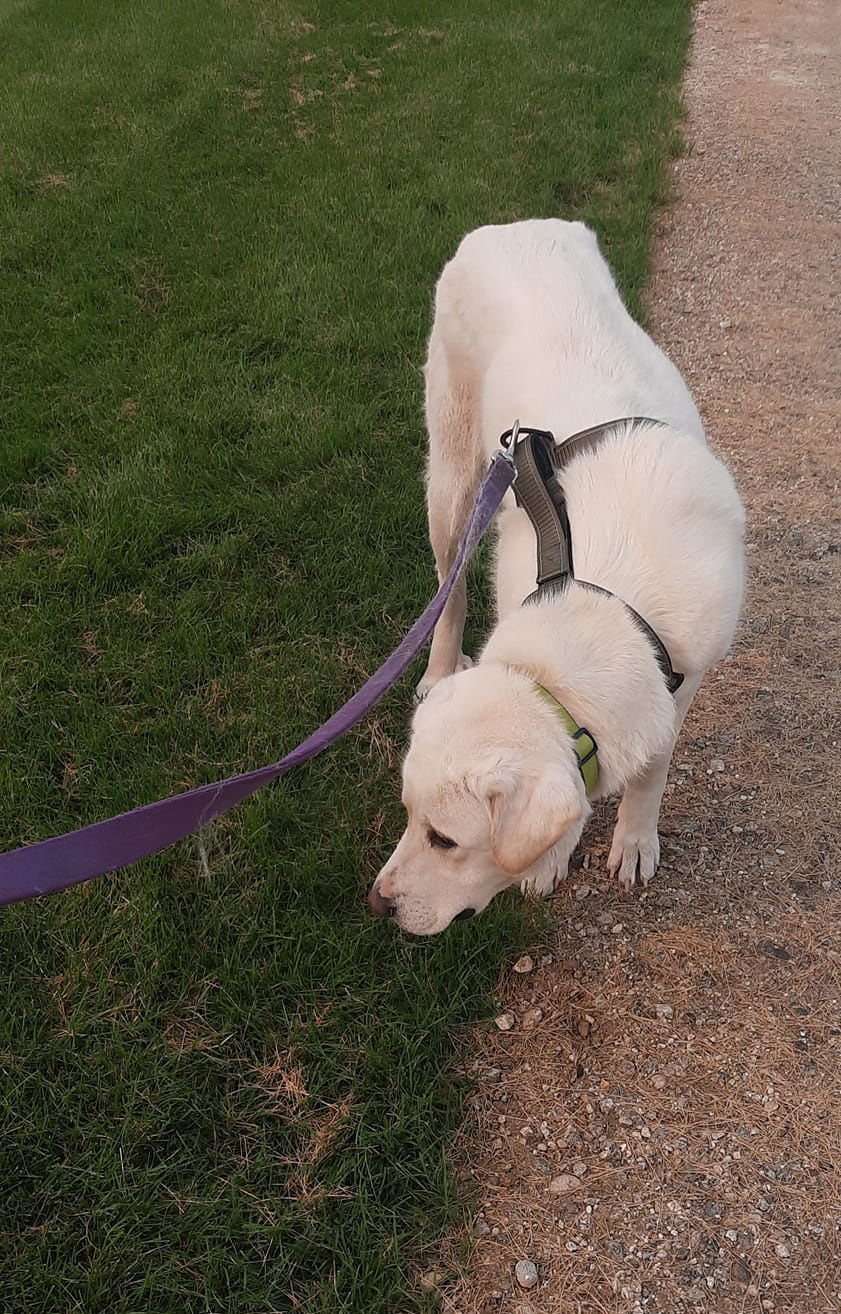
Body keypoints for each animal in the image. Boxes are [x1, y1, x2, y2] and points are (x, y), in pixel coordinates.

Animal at [367, 218, 741, 935]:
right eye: (406, 815)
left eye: (444, 840)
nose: (378, 903)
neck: (609, 602)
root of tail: (511, 225)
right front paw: (551, 858)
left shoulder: (683, 680)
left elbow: (652, 771)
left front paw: (633, 838)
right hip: (452, 481)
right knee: (449, 590)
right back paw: (437, 670)